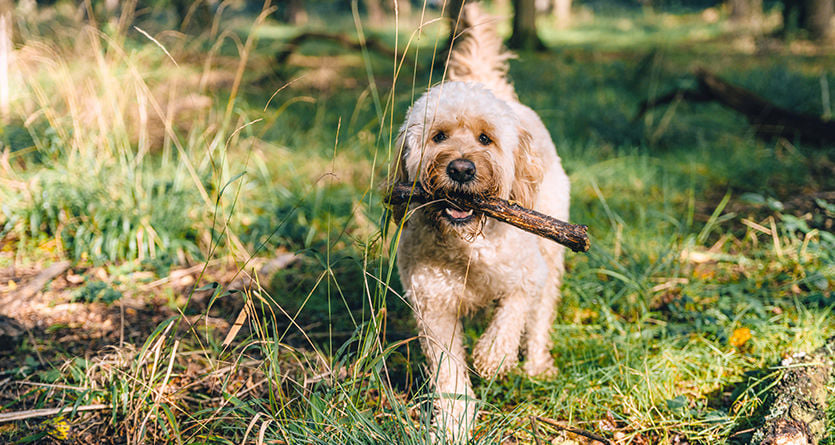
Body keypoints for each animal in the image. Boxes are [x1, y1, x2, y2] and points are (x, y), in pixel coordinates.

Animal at [386, 2, 572, 440]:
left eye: (486, 139)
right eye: (438, 136)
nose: (461, 168)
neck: (466, 246)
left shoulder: (528, 274)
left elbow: (512, 315)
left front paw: (493, 357)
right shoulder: (432, 306)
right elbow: (449, 373)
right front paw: (454, 424)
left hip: (552, 253)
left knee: (540, 316)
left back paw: (536, 364)